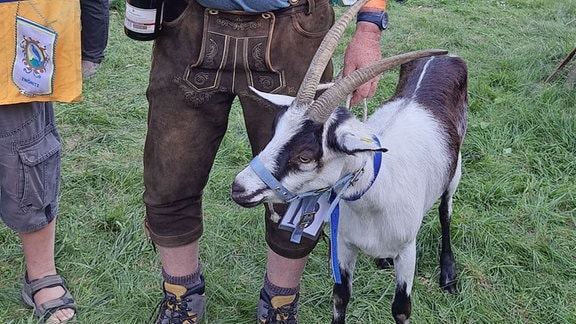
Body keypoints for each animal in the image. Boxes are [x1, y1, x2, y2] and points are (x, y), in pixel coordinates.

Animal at [230, 1, 468, 322]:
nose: (239, 188)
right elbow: (341, 296)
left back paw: (448, 274)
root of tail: (446, 58)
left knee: (445, 211)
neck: (376, 189)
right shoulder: (344, 245)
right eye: (275, 131)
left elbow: (401, 309)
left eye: (305, 155)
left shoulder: (408, 251)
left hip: (454, 172)